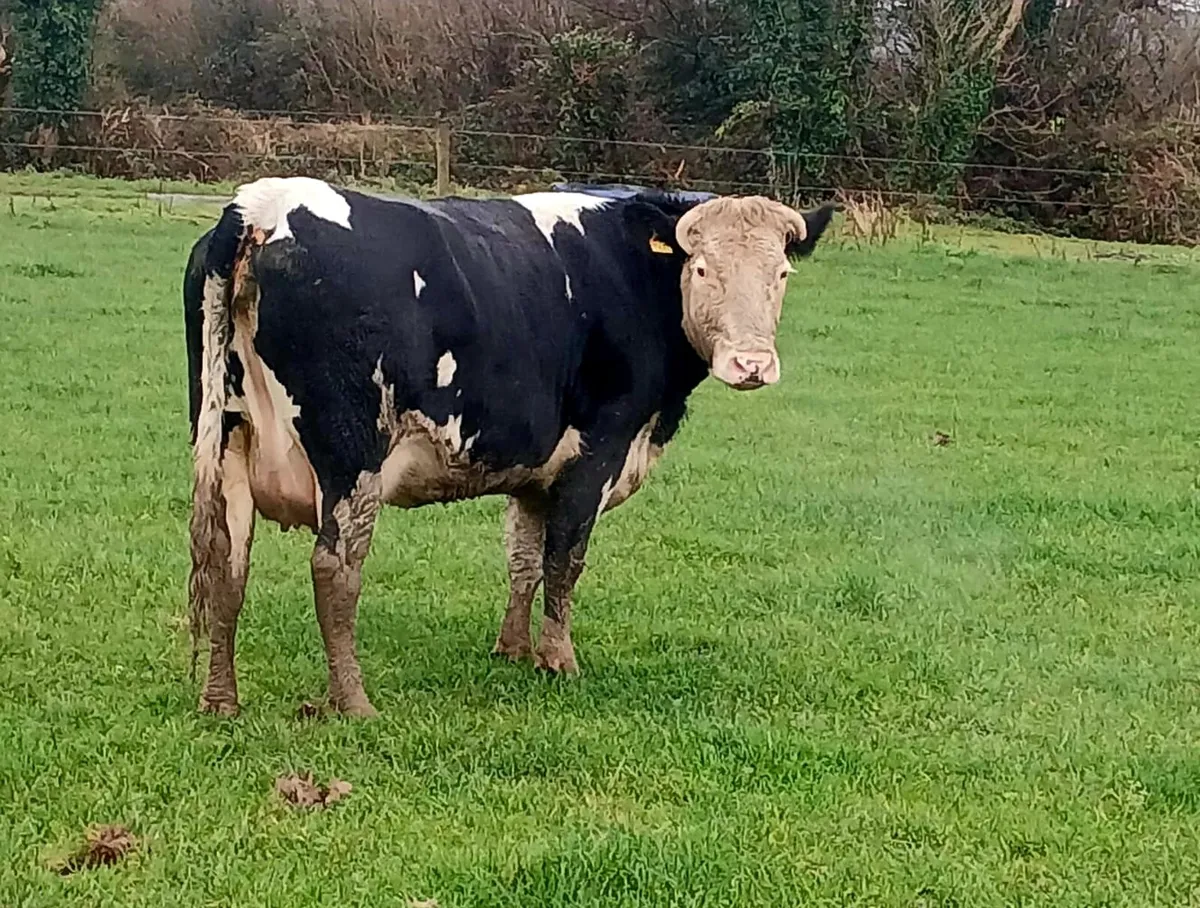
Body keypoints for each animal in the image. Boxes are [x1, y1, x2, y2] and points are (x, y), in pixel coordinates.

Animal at [183, 177, 835, 717]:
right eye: (701, 269)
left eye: (781, 274)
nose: (751, 364)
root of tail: (258, 206)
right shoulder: (597, 453)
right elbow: (564, 560)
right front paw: (559, 661)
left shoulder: (533, 469)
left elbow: (523, 557)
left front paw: (514, 650)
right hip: (352, 456)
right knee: (335, 567)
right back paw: (353, 702)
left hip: (227, 439)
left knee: (226, 561)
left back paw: (220, 700)